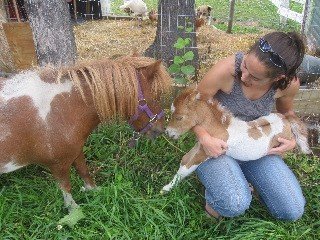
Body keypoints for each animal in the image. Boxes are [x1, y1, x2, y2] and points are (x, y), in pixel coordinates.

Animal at [0, 55, 172, 212]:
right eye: (155, 97)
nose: (160, 129)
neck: (58, 110)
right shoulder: (59, 165)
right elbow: (66, 188)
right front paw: (74, 210)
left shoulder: (76, 151)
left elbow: (84, 171)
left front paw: (94, 191)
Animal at [162, 86, 310, 193]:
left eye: (179, 117)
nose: (168, 132)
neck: (220, 128)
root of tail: (286, 119)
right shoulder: (201, 145)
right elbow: (184, 160)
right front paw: (168, 187)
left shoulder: (205, 153)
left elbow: (186, 169)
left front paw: (166, 190)